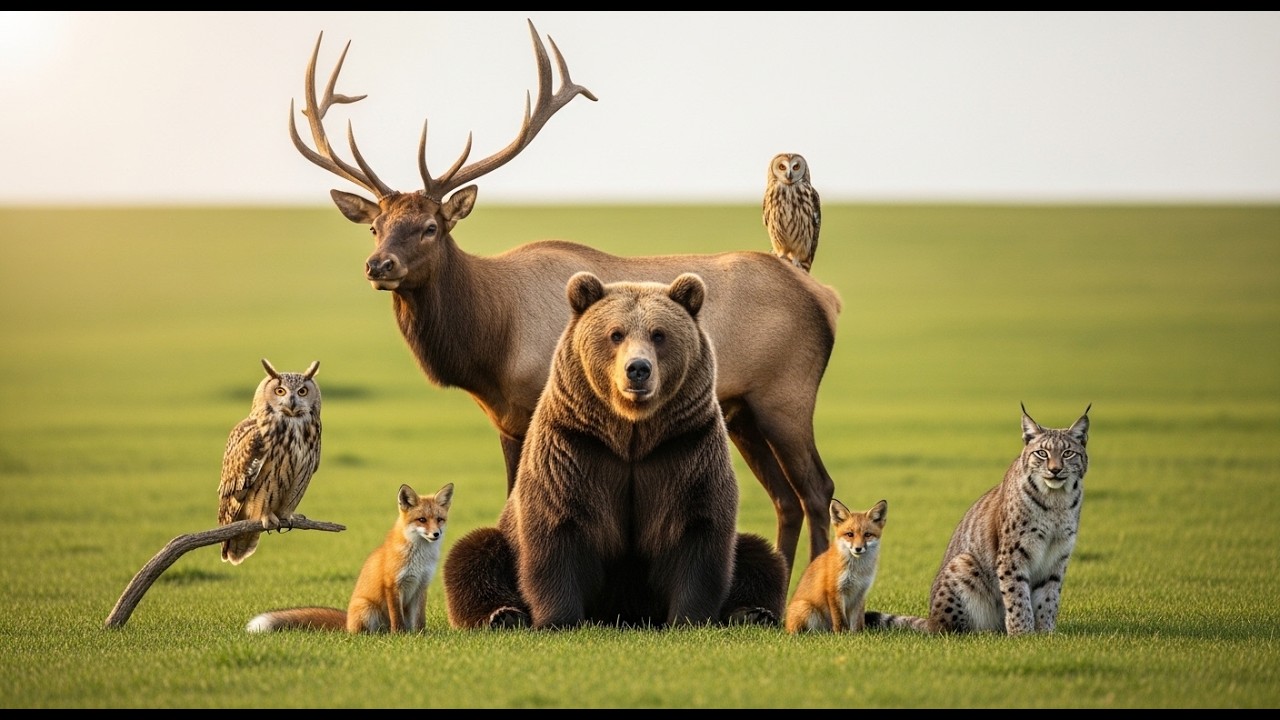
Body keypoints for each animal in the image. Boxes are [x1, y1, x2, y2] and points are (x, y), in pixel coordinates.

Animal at [289, 19, 843, 579]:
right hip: (742, 409)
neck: (493, 342)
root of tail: (824, 297)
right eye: (376, 226)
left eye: (430, 227)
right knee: (785, 498)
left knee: (817, 489)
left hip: (787, 394)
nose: (379, 266)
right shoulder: (509, 421)